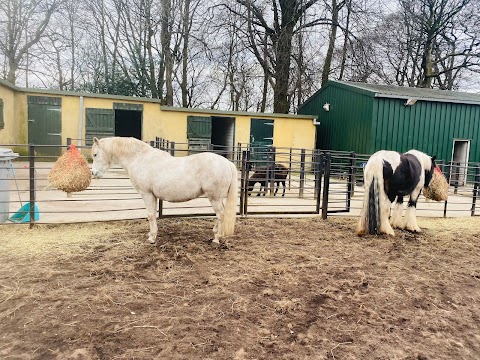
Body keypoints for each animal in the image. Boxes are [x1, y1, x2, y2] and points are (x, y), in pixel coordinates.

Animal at [90, 137, 238, 245]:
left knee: (221, 215)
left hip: (215, 198)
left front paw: (151, 238)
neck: (139, 158)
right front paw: (152, 234)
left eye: (95, 154)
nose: (93, 173)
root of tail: (227, 163)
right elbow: (153, 216)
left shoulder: (147, 194)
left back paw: (216, 239)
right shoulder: (153, 196)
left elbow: (150, 215)